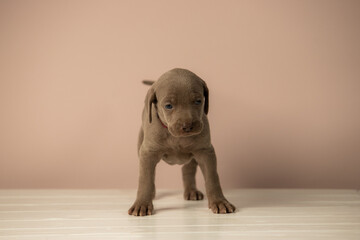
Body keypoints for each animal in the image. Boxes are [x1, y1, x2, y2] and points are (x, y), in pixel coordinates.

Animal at [128, 68, 235, 217]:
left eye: (198, 101)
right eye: (168, 106)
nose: (188, 126)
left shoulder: (205, 152)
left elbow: (212, 178)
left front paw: (219, 202)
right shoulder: (148, 153)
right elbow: (145, 180)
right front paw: (141, 204)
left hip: (193, 156)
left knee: (188, 169)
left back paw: (191, 191)